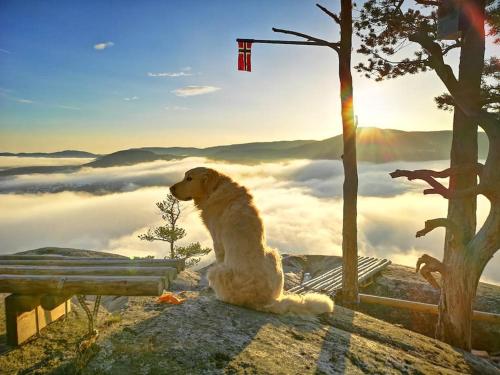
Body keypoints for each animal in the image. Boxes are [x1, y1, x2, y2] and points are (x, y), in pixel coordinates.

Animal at [170, 166, 334, 316]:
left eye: (189, 178)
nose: (170, 188)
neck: (216, 187)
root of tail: (267, 301)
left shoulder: (218, 242)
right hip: (273, 254)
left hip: (216, 271)